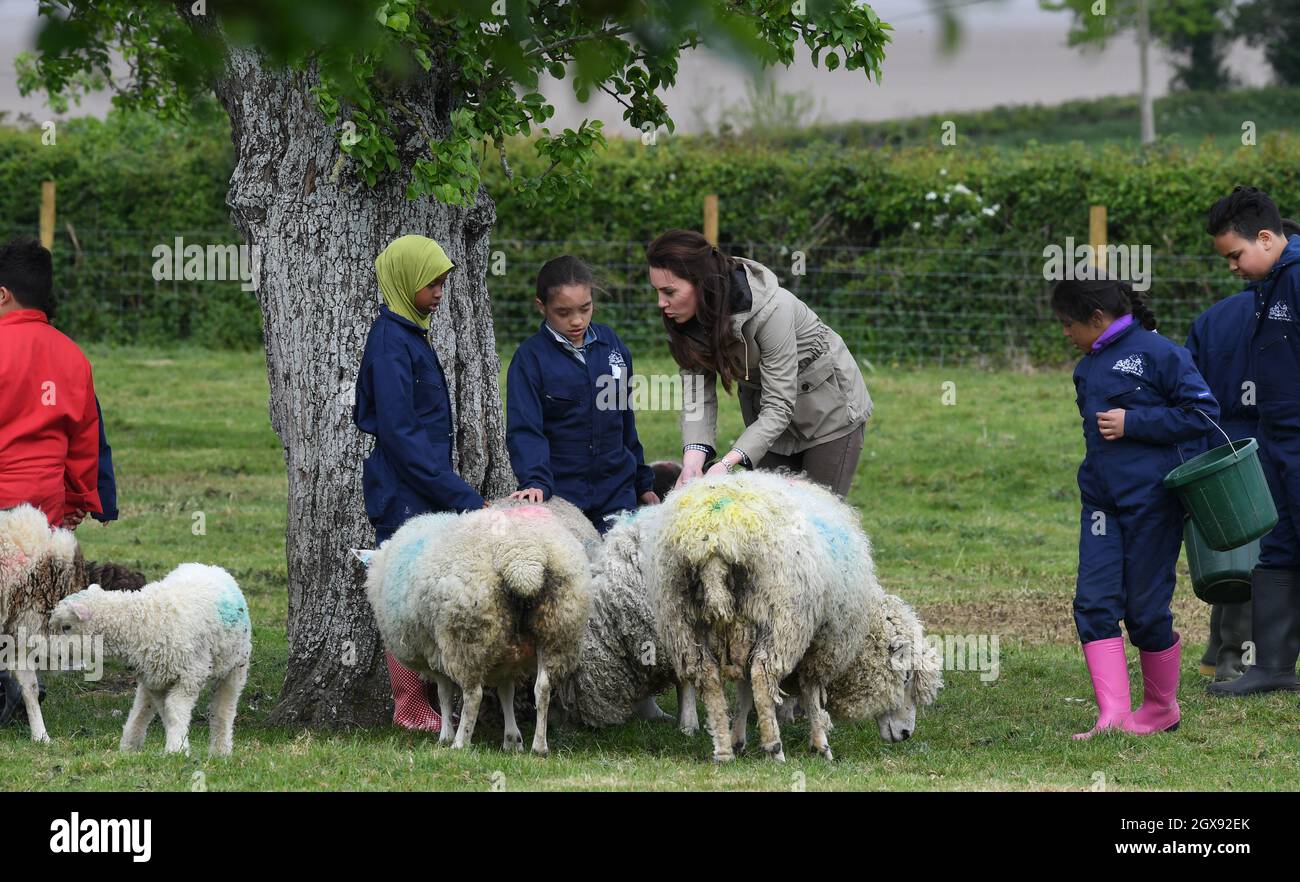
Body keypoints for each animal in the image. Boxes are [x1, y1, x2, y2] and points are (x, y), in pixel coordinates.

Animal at [48, 561, 252, 754]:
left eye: (66, 627)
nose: (53, 654)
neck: (140, 621)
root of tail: (210, 567)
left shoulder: (190, 676)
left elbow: (174, 711)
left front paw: (176, 749)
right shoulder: (159, 683)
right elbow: (166, 712)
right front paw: (176, 744)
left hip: (236, 666)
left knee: (223, 710)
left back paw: (221, 750)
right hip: (153, 675)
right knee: (142, 707)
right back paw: (130, 745)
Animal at [364, 504, 592, 754]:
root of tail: (523, 561)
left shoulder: (435, 653)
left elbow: (444, 694)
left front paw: (445, 736)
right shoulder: (506, 657)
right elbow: (506, 693)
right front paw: (512, 739)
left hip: (467, 636)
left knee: (474, 695)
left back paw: (460, 742)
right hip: (557, 629)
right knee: (542, 687)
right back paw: (539, 747)